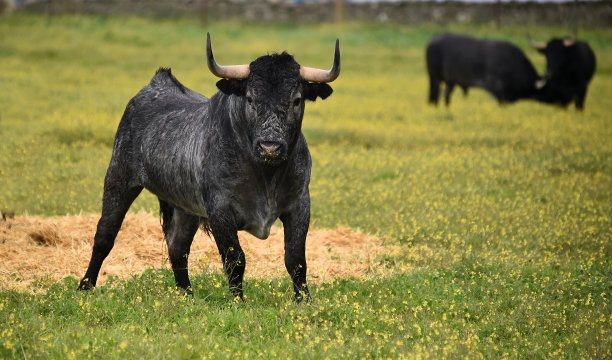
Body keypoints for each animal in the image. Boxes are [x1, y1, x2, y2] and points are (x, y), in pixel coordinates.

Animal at [76, 34, 340, 304]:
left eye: (296, 100)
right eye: (250, 98)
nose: (270, 146)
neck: (266, 173)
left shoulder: (299, 203)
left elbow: (296, 259)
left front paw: (304, 302)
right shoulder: (220, 208)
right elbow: (235, 259)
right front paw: (238, 303)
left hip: (185, 207)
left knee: (177, 247)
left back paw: (186, 295)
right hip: (119, 178)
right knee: (104, 235)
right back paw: (85, 287)